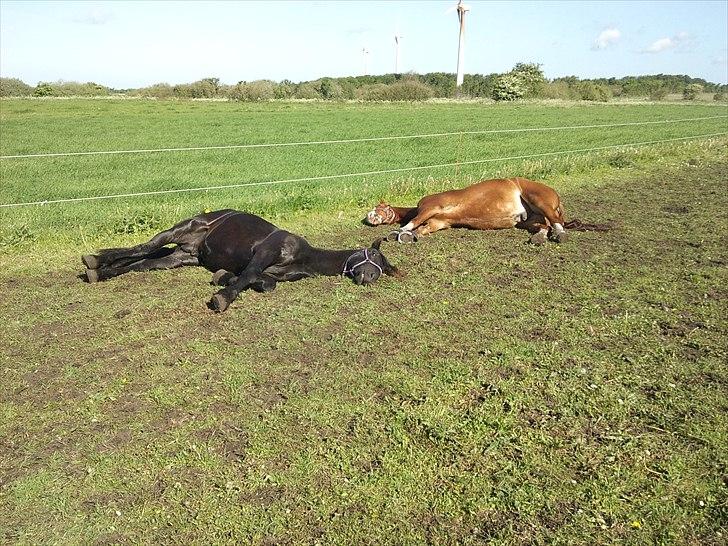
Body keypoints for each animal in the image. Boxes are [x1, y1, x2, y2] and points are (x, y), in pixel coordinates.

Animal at [83, 208, 400, 310]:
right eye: (373, 254)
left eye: (384, 269)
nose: (370, 277)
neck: (302, 255)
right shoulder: (263, 254)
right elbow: (247, 275)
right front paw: (222, 297)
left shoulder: (273, 274)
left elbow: (265, 283)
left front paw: (222, 277)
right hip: (175, 231)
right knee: (143, 247)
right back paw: (96, 259)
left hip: (180, 258)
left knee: (143, 262)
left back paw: (102, 271)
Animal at [364, 177, 608, 243]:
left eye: (379, 208)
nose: (368, 218)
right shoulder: (438, 222)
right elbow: (422, 229)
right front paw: (410, 235)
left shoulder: (431, 207)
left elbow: (412, 223)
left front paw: (399, 232)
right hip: (529, 220)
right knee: (543, 227)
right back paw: (539, 238)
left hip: (541, 202)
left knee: (556, 222)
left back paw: (560, 235)